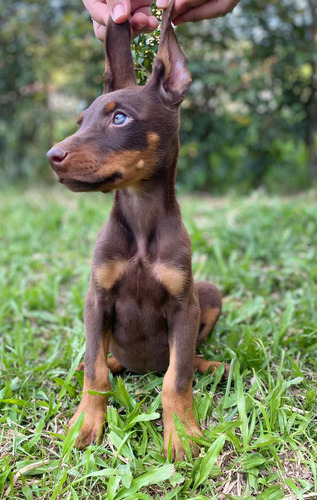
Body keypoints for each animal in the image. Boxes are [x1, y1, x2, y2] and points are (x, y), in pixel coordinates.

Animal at [47, 0, 227, 460]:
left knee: (180, 362)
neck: (140, 214)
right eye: (82, 120)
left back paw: (209, 365)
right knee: (106, 361)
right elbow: (95, 375)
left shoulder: (185, 306)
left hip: (209, 293)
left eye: (120, 118)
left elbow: (176, 379)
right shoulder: (97, 299)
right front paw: (86, 423)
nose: (52, 156)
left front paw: (182, 434)